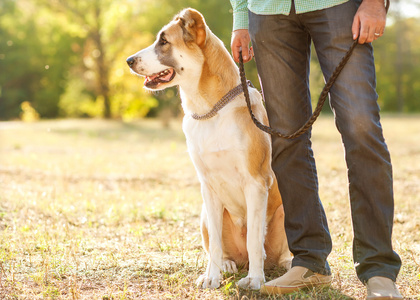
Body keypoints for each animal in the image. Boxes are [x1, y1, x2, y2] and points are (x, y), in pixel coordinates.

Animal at [126, 8, 290, 290]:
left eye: (164, 41)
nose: (128, 60)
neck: (212, 111)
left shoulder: (256, 183)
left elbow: (254, 239)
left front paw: (255, 279)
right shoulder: (209, 188)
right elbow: (214, 242)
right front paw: (212, 276)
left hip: (284, 211)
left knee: (272, 252)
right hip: (204, 213)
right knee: (223, 248)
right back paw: (227, 264)